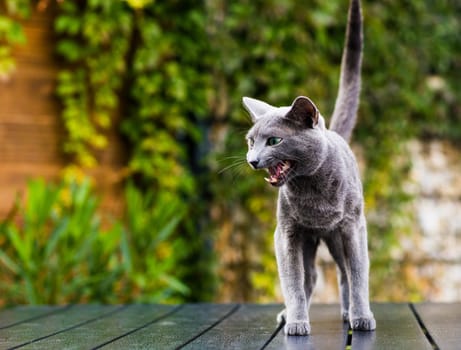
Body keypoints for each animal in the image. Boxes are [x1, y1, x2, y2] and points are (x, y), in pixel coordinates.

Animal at [243, 0, 376, 334]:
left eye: (274, 140)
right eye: (250, 142)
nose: (252, 160)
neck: (311, 188)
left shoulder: (353, 227)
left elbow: (358, 275)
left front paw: (362, 317)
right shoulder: (287, 233)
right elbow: (292, 281)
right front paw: (296, 321)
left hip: (337, 237)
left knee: (344, 273)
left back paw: (349, 313)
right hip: (307, 240)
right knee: (311, 276)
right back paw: (288, 315)